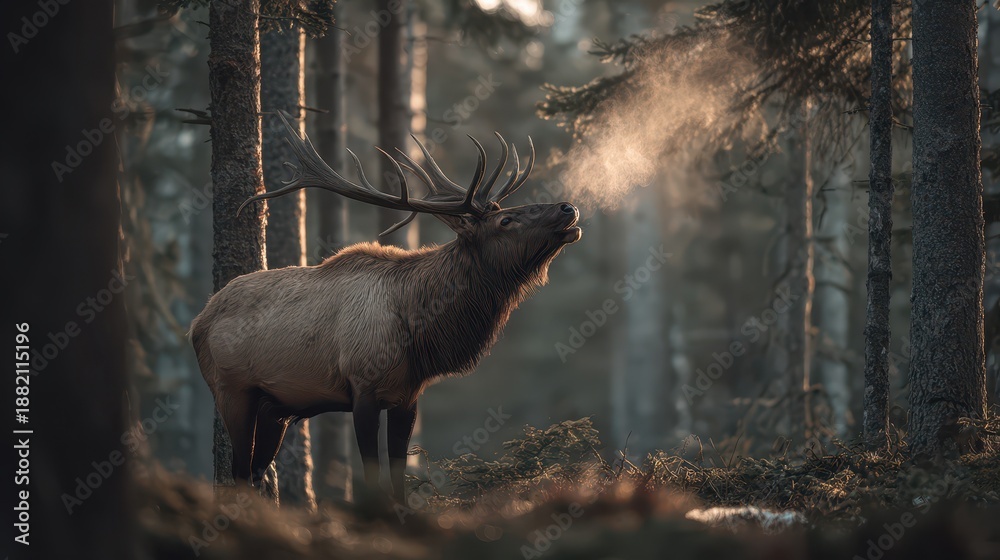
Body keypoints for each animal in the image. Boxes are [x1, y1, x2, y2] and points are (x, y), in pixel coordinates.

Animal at [190, 114, 581, 502]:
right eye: (506, 220)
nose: (568, 207)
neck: (416, 328)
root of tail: (197, 322)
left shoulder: (407, 396)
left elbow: (398, 478)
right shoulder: (362, 387)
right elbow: (372, 475)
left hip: (275, 408)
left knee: (255, 473)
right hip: (232, 389)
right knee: (238, 472)